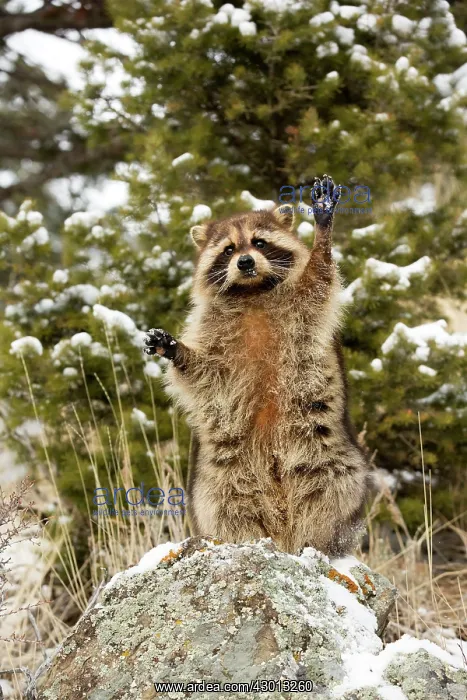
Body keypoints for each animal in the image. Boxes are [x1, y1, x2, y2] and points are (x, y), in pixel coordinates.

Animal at [144, 175, 369, 555]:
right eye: (228, 250)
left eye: (259, 243)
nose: (246, 262)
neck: (252, 293)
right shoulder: (213, 334)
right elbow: (203, 371)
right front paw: (175, 349)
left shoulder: (301, 308)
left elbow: (318, 279)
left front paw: (322, 231)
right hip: (216, 479)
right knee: (227, 506)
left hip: (334, 461)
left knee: (330, 495)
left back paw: (318, 544)